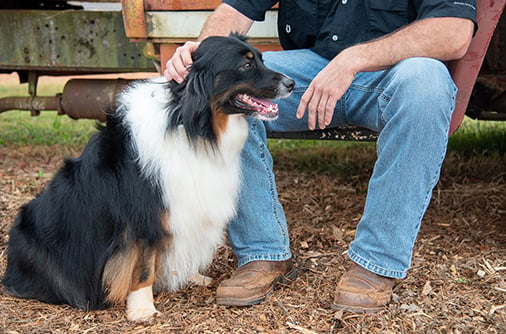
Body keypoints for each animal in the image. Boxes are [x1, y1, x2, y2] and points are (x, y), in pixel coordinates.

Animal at [3, 34, 294, 320]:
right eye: (246, 65)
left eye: (261, 59)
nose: (291, 84)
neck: (190, 123)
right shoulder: (143, 217)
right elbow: (144, 267)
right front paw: (142, 309)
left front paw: (192, 276)